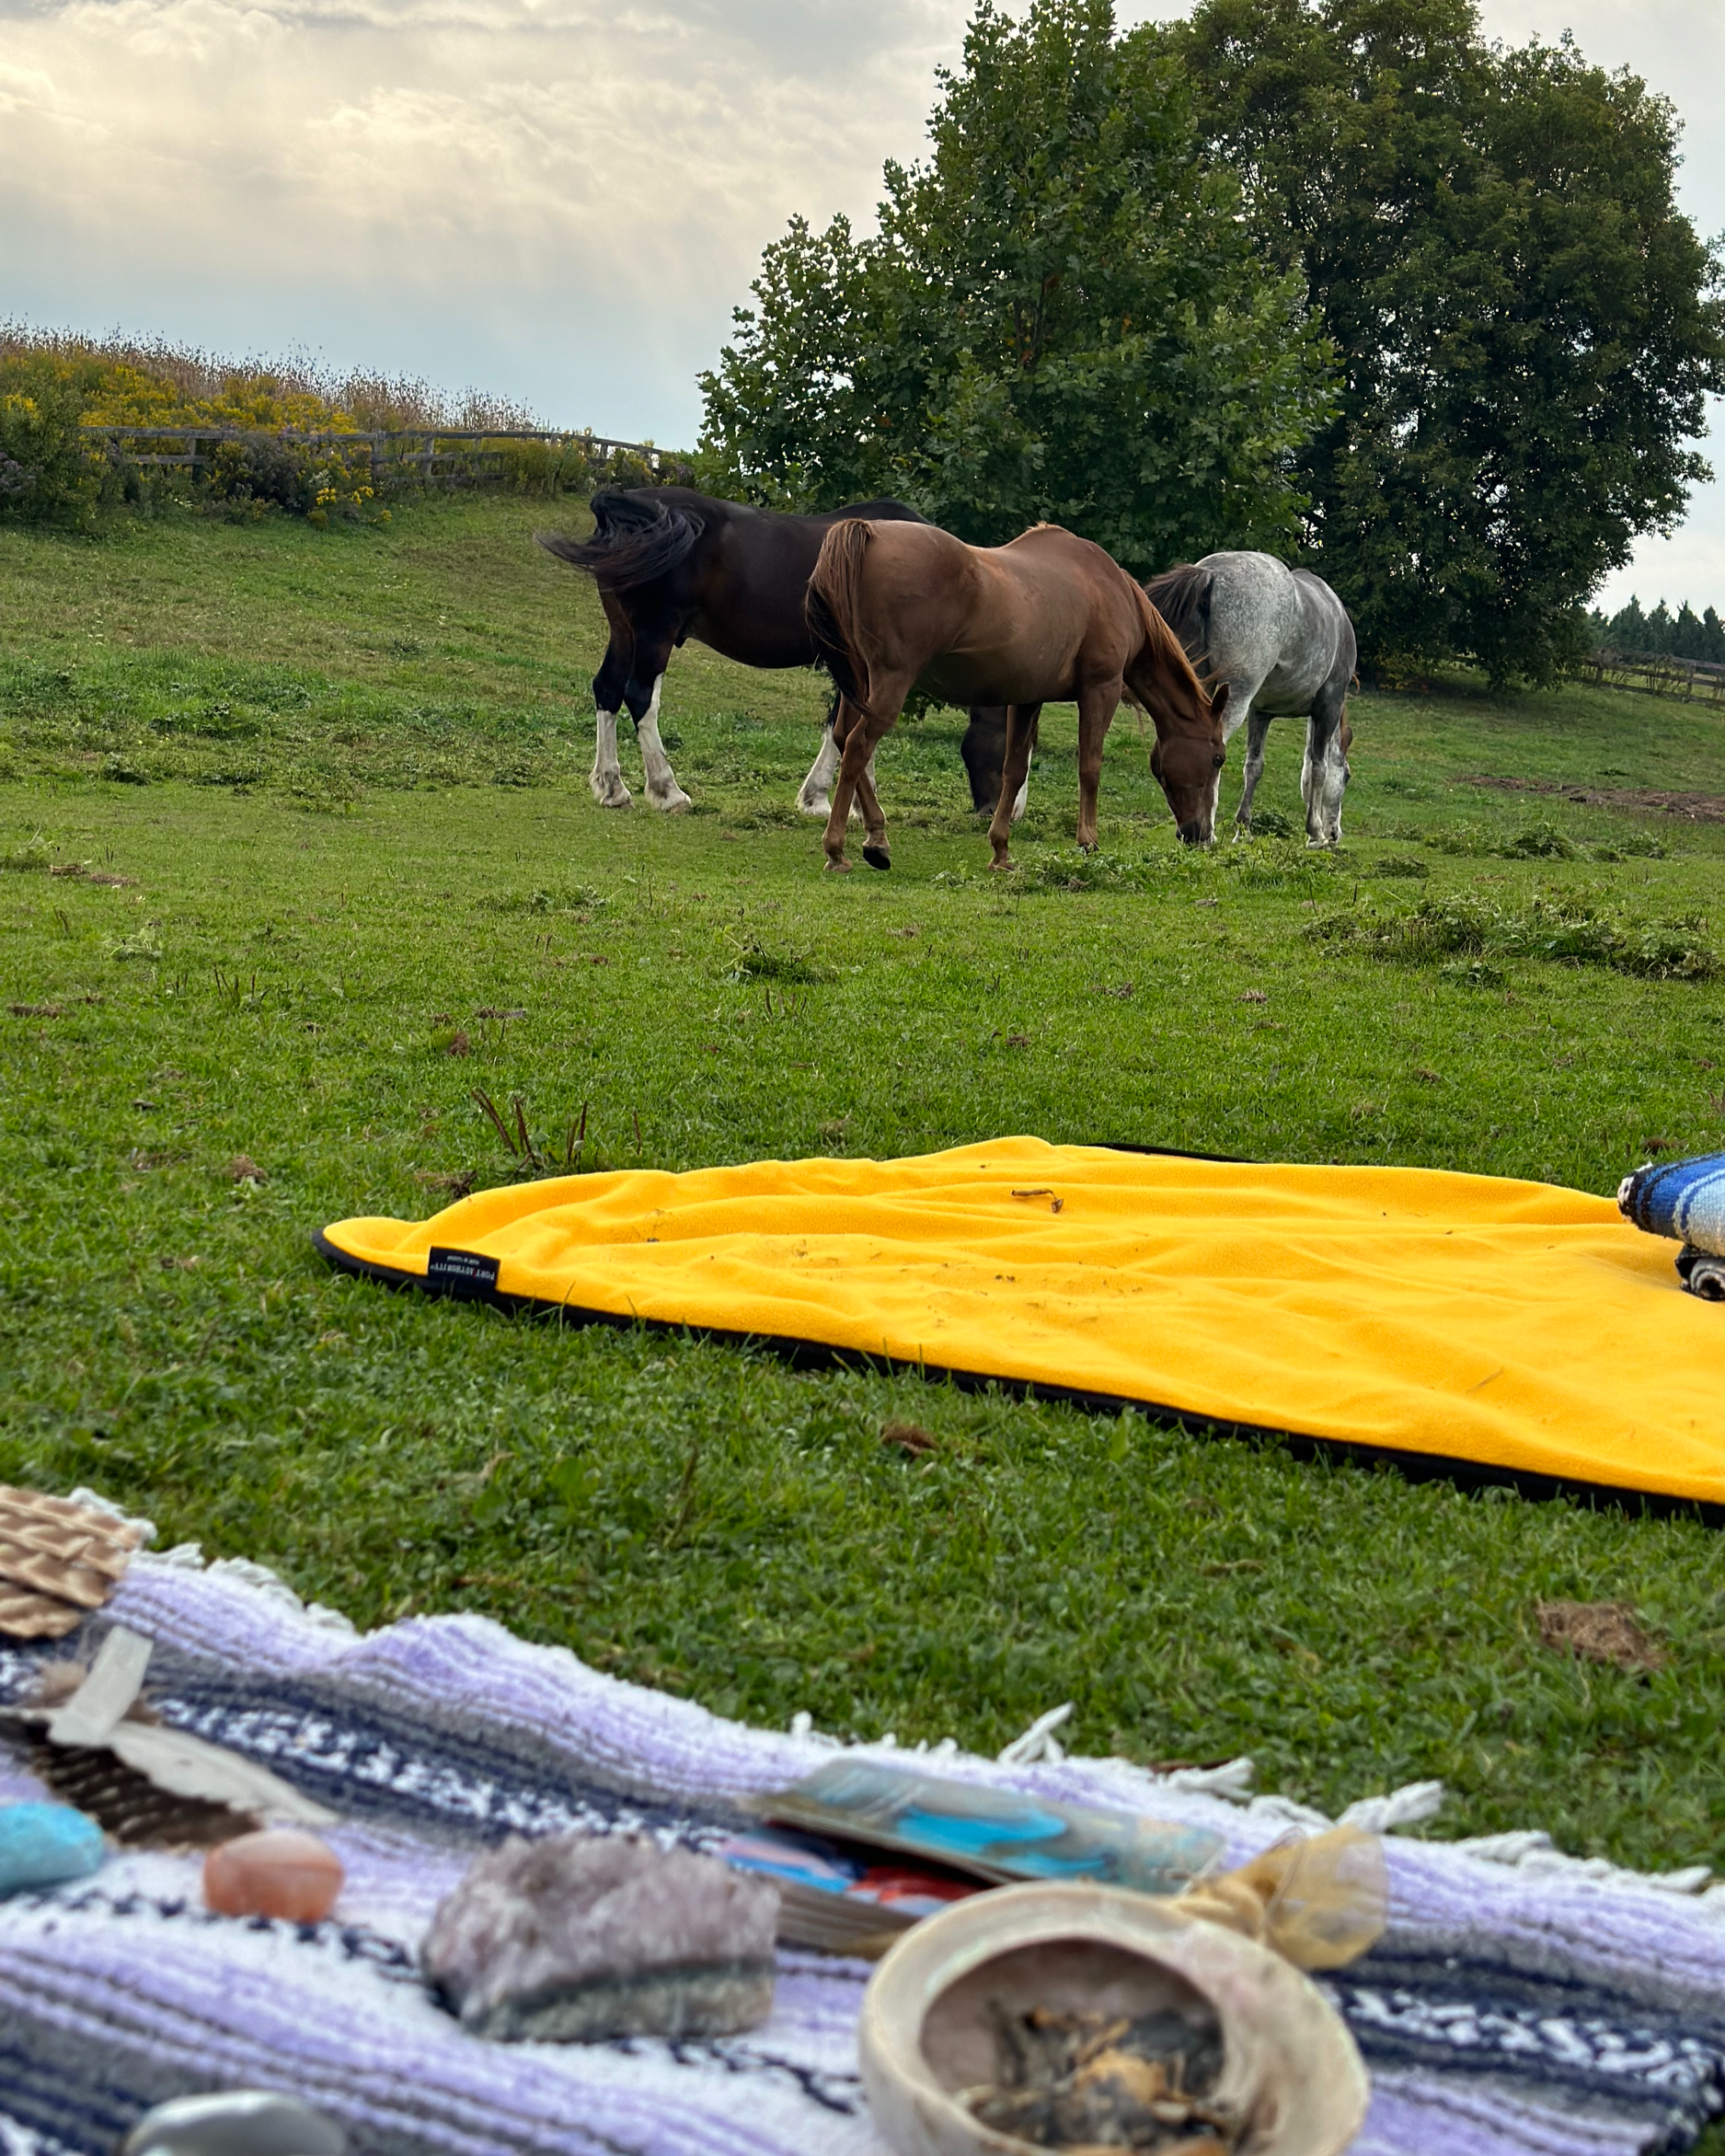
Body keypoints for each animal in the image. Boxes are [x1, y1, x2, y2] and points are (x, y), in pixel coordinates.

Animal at [536, 488, 1021, 821]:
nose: (1009, 812)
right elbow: (857, 726)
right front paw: (836, 800)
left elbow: (849, 725)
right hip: (656, 631)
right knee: (640, 697)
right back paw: (668, 791)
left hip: (624, 631)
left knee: (607, 690)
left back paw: (612, 787)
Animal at [804, 519, 1229, 873]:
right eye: (1218, 758)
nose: (1199, 834)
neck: (1111, 591)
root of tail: (868, 531)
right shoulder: (1100, 690)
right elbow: (1089, 767)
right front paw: (1088, 841)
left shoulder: (1027, 699)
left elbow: (1013, 771)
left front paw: (1001, 851)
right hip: (890, 684)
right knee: (858, 746)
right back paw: (838, 850)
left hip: (860, 686)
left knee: (843, 739)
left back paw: (877, 839)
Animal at [1142, 553, 1357, 846]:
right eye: (1347, 777)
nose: (1336, 834)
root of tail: (1210, 574)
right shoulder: (1328, 706)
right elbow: (1318, 767)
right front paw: (1316, 834)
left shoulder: (1260, 712)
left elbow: (1254, 767)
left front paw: (1243, 830)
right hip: (1235, 697)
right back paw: (1206, 833)